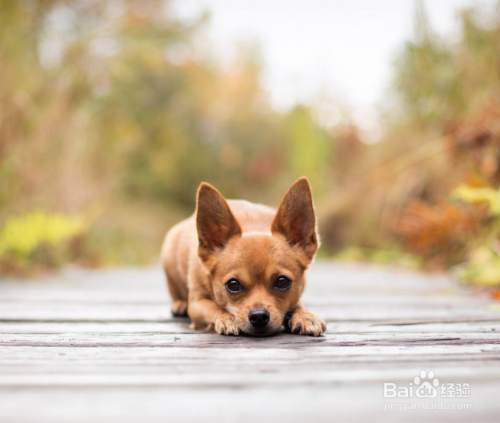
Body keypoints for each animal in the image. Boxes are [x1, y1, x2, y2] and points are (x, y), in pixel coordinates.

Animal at [159, 177, 324, 336]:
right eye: (233, 284)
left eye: (282, 282)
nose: (259, 316)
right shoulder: (197, 303)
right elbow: (215, 308)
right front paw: (227, 319)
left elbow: (298, 304)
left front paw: (306, 316)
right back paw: (180, 304)